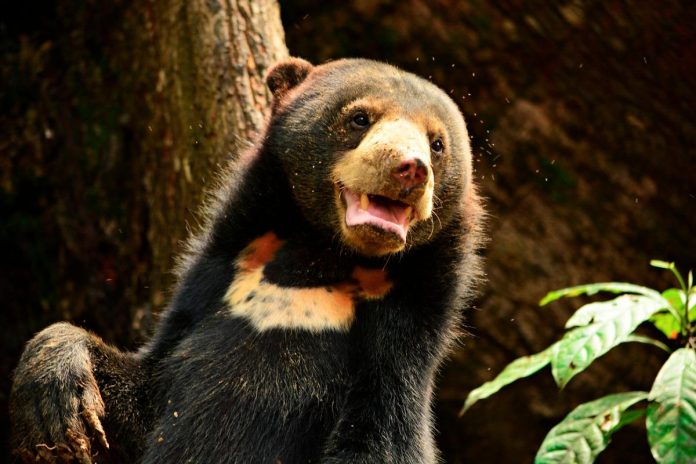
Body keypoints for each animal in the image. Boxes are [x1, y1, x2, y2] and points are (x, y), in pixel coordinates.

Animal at [10, 57, 484, 464]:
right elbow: (139, 395)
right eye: (360, 118)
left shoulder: (396, 347)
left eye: (437, 144)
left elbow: (379, 438)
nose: (411, 168)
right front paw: (55, 400)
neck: (319, 258)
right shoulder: (220, 277)